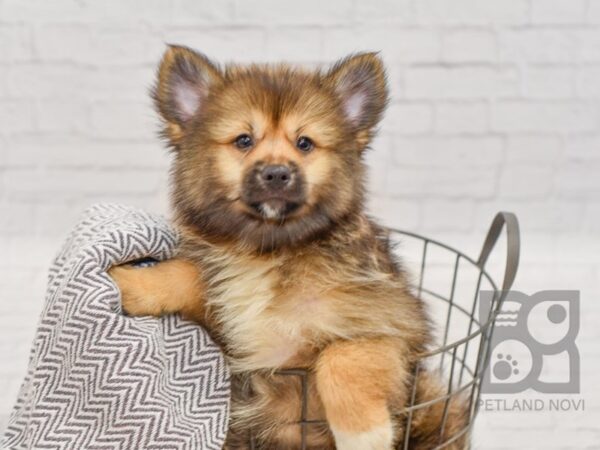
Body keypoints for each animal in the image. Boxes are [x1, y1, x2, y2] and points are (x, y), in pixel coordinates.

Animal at [109, 46, 468, 450]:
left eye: (305, 143)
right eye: (244, 140)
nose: (277, 173)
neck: (270, 249)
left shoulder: (387, 326)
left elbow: (341, 359)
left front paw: (365, 434)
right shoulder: (227, 326)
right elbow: (186, 274)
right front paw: (131, 283)